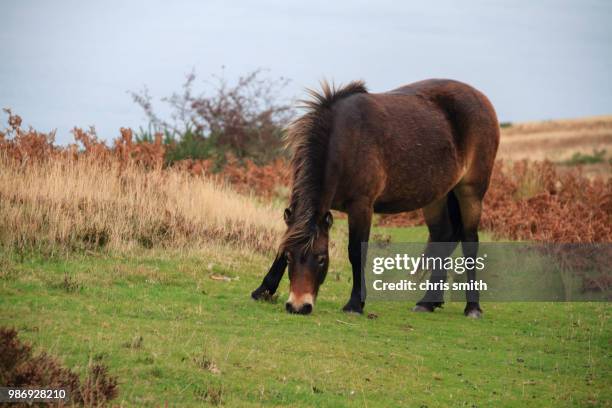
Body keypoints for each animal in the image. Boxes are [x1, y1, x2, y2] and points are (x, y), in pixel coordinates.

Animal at [251, 78, 500, 318]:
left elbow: (356, 252)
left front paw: (354, 304)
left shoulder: (361, 206)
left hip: (470, 192)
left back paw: (472, 308)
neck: (344, 141)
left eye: (321, 258)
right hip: (437, 196)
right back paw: (427, 302)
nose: (299, 306)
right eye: (290, 257)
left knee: (469, 242)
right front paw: (263, 290)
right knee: (443, 237)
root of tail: (482, 99)